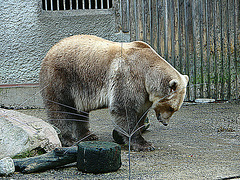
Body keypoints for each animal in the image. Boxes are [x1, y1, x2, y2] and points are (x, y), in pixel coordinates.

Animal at [39, 34, 188, 151]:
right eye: (172, 108)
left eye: (175, 109)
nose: (165, 122)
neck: (147, 75)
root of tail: (50, 50)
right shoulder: (128, 77)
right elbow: (124, 108)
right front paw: (144, 144)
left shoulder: (144, 93)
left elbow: (140, 113)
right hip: (62, 77)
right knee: (59, 108)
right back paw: (69, 139)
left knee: (79, 112)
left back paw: (88, 135)